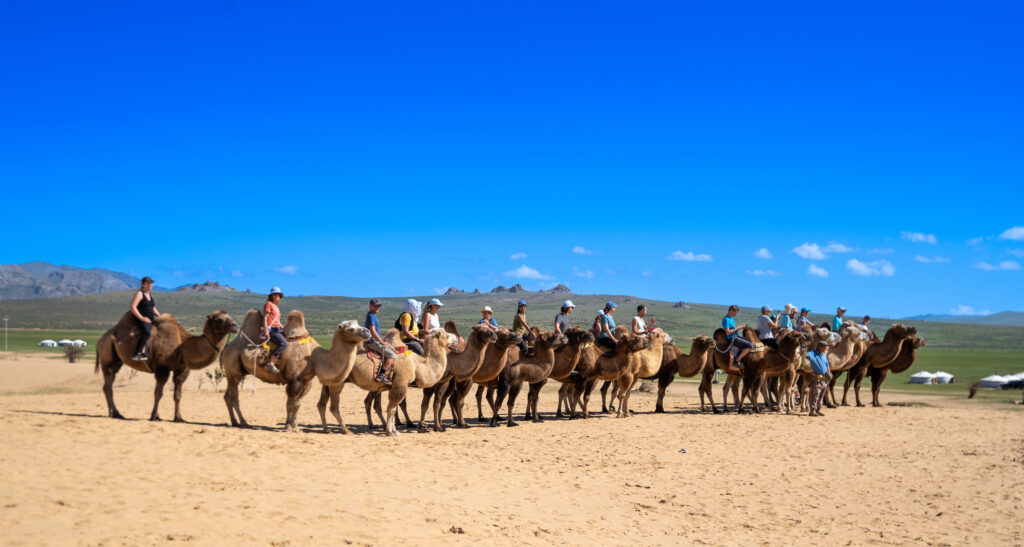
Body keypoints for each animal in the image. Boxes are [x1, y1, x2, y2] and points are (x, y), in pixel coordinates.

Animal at [95, 311, 238, 422]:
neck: (182, 346)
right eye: (219, 319)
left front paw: (178, 418)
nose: (235, 325)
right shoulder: (162, 369)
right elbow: (158, 393)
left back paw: (112, 413)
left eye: (230, 316)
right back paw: (117, 413)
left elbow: (178, 395)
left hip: (117, 362)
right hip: (107, 358)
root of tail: (101, 338)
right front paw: (154, 416)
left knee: (107, 385)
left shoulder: (181, 370)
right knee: (108, 385)